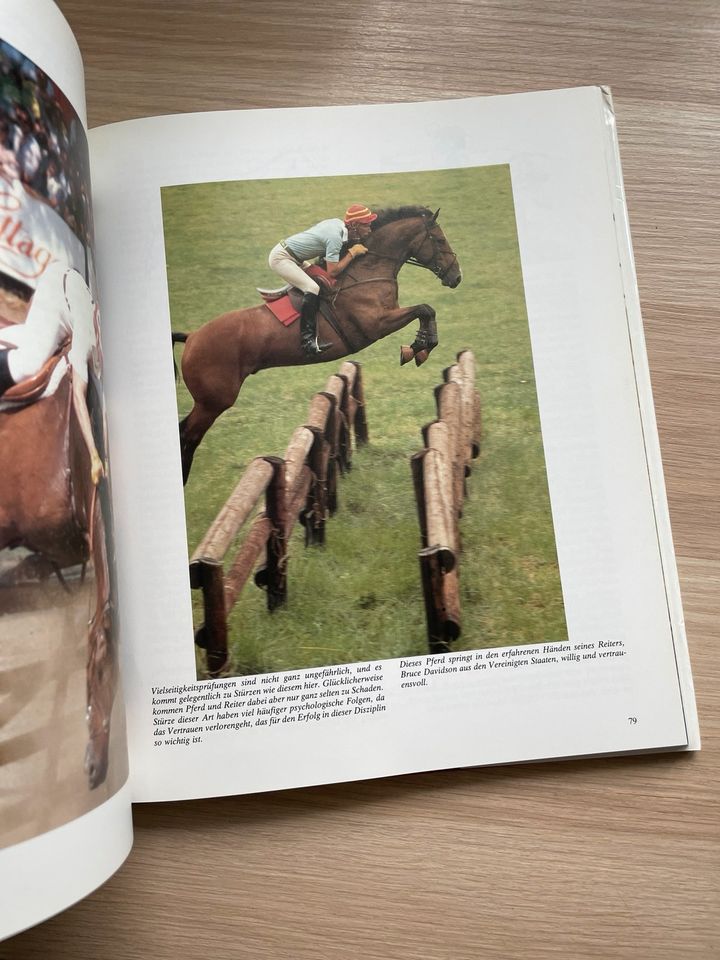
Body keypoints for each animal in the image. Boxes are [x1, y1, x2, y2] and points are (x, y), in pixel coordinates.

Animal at [174, 207, 462, 484]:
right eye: (438, 239)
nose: (456, 276)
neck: (366, 271)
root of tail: (192, 336)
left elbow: (427, 310)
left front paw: (420, 348)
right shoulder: (376, 325)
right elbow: (424, 309)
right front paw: (418, 346)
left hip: (210, 402)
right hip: (214, 401)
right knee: (188, 435)